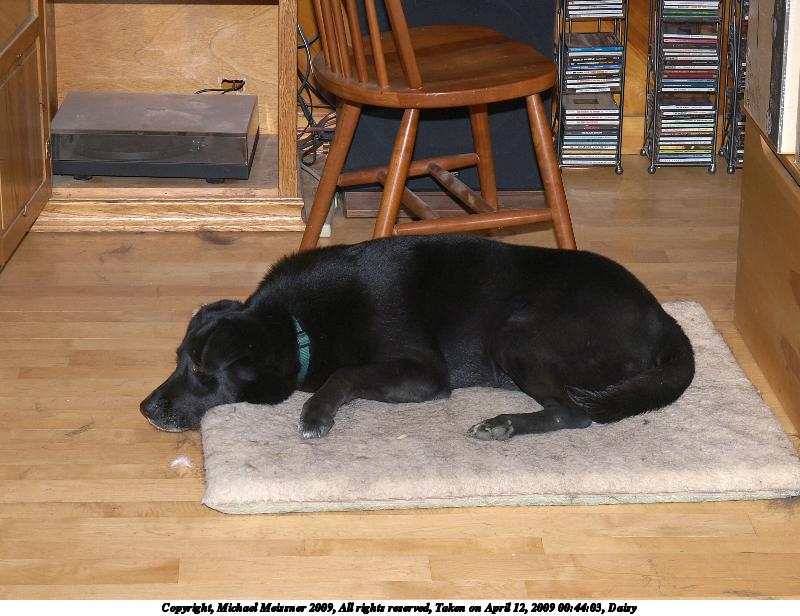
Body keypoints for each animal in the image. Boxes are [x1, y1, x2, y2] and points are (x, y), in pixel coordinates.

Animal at [140, 235, 694, 440]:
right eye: (178, 360)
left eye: (199, 369)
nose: (145, 409)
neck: (295, 327)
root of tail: (664, 318)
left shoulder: (423, 373)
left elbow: (345, 374)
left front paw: (317, 412)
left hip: (519, 334)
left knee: (574, 413)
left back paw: (503, 424)